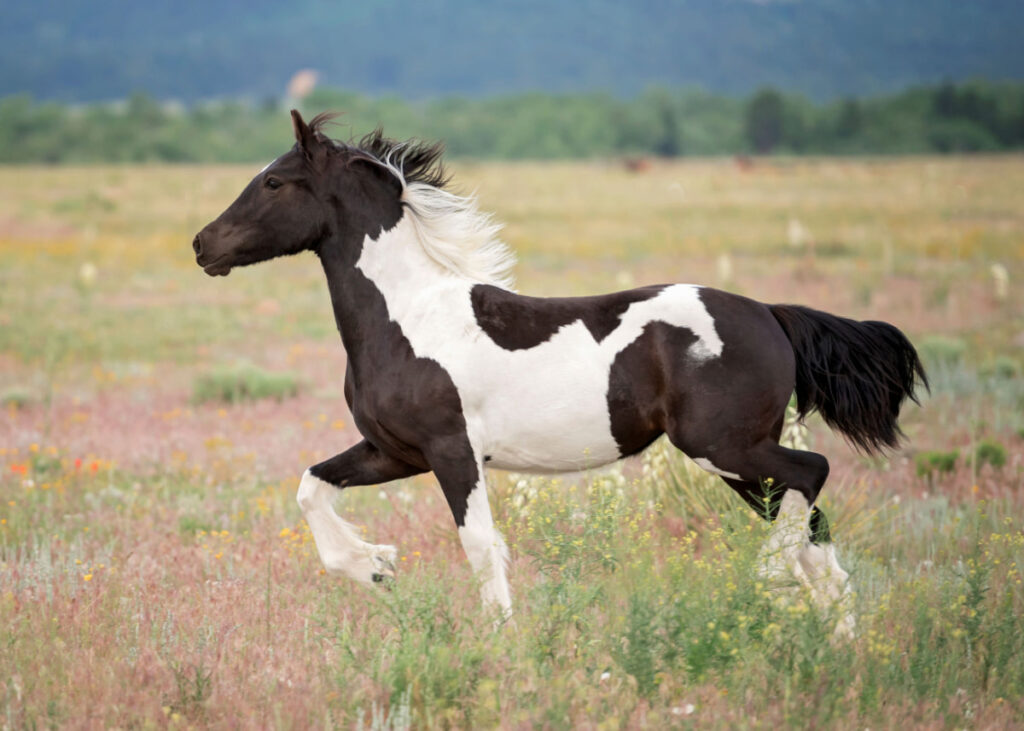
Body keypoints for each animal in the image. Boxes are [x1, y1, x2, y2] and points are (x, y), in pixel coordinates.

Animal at [192, 109, 929, 630]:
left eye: (273, 181)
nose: (203, 245)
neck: (408, 316)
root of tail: (771, 314)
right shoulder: (393, 450)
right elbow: (311, 485)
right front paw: (374, 565)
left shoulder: (451, 451)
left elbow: (480, 546)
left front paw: (499, 641)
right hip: (741, 460)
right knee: (813, 530)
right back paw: (840, 653)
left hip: (723, 445)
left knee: (812, 476)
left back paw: (771, 581)